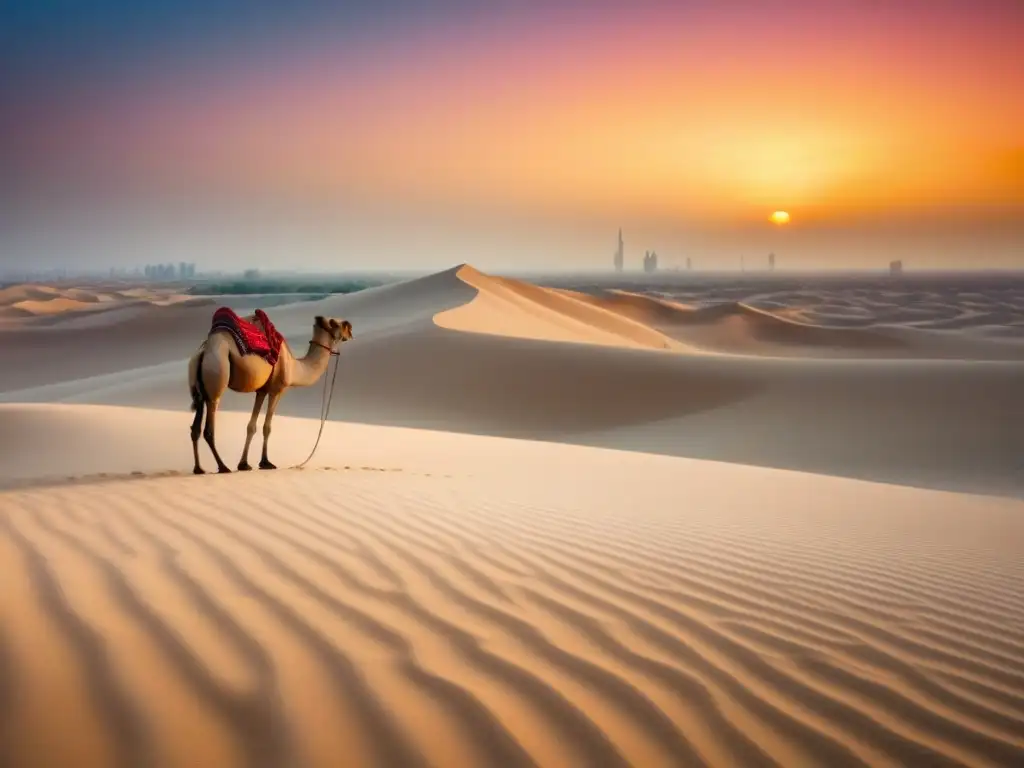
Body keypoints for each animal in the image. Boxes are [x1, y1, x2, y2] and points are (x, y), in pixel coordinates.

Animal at [187, 313, 352, 475]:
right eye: (335, 323)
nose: (350, 329)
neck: (294, 366)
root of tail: (203, 351)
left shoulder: (262, 390)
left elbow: (251, 426)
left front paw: (244, 464)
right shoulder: (276, 390)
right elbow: (267, 427)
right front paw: (265, 462)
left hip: (200, 389)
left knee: (195, 428)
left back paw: (198, 468)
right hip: (216, 374)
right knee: (209, 429)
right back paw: (222, 467)